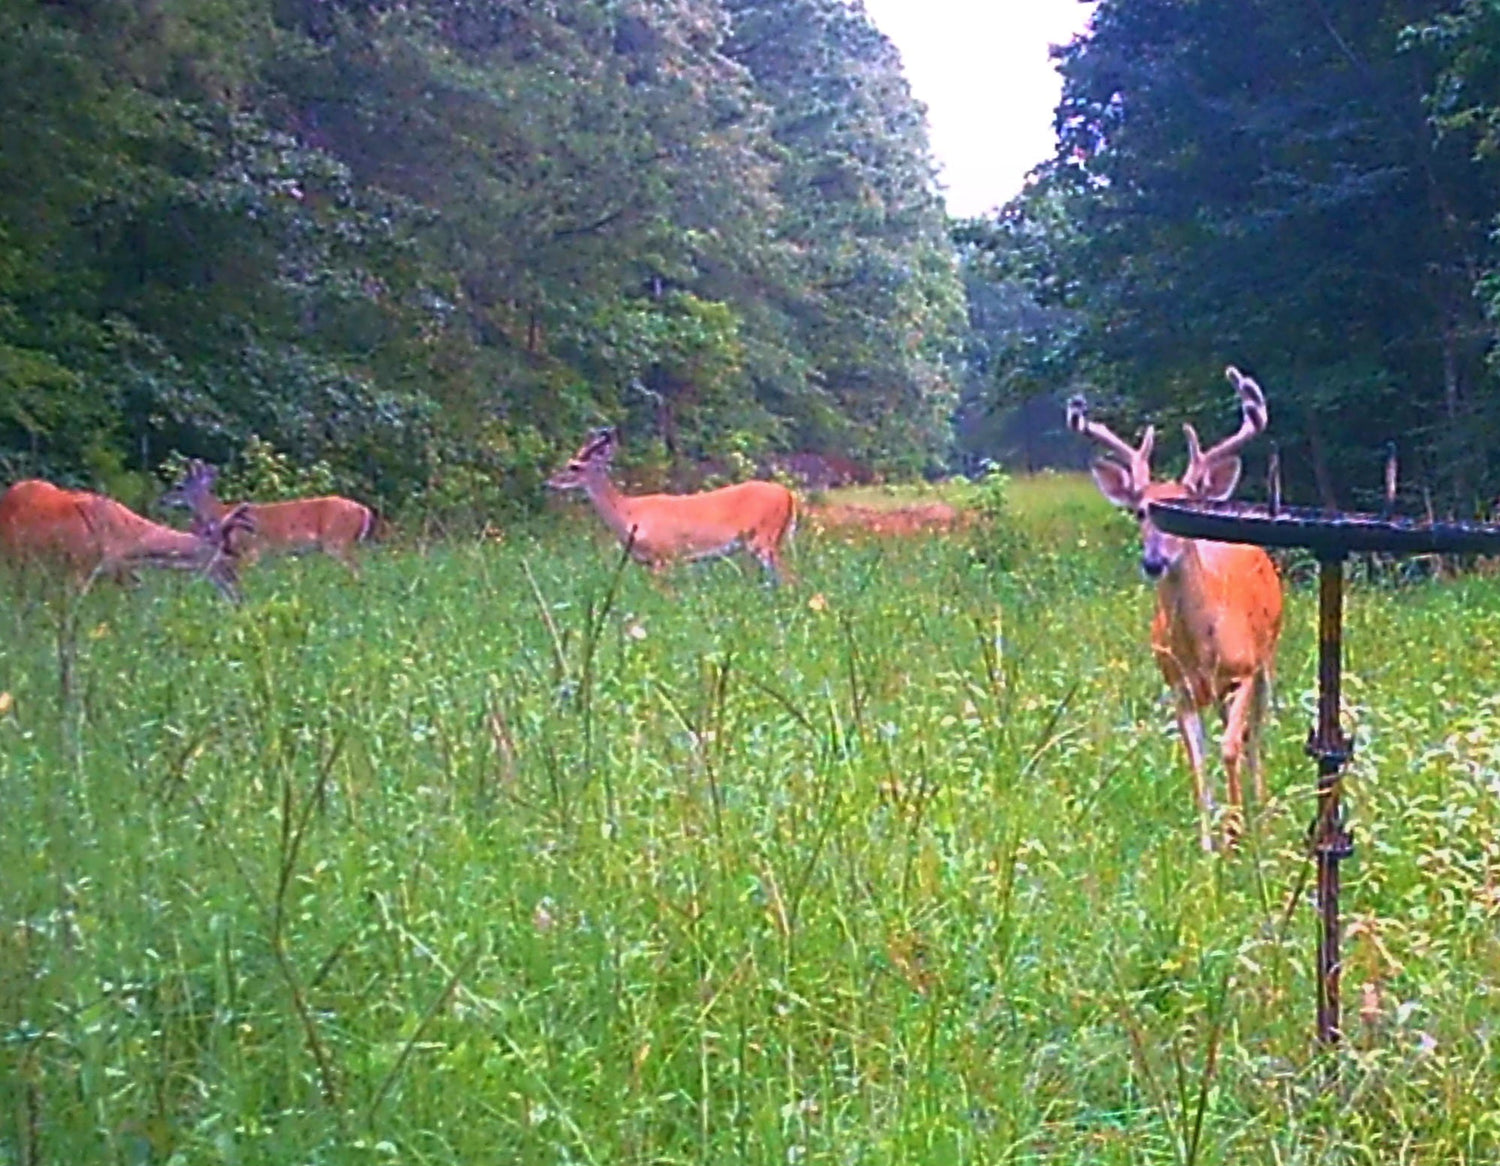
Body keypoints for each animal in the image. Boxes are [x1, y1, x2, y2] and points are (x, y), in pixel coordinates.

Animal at [161, 460, 373, 574]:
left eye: (179, 486)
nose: (162, 499)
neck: (220, 513)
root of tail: (363, 510)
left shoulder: (252, 548)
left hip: (336, 539)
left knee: (357, 568)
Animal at [547, 428, 798, 581]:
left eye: (574, 466)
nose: (548, 482)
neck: (628, 514)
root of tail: (789, 495)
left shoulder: (663, 555)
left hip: (765, 538)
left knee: (791, 579)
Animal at [1068, 367, 1284, 851]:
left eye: (1183, 510)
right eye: (1140, 512)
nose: (1153, 561)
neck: (1201, 646)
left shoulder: (1243, 669)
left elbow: (1230, 747)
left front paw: (1236, 834)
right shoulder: (1178, 685)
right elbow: (1198, 761)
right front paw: (1208, 845)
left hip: (1267, 660)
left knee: (1255, 737)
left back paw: (1261, 814)